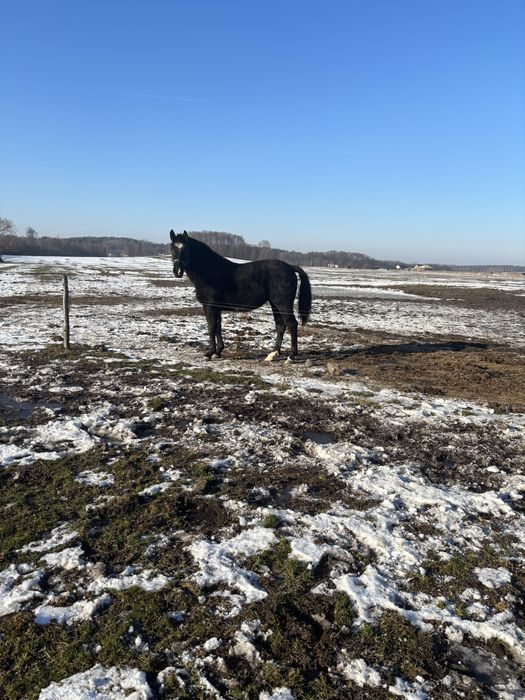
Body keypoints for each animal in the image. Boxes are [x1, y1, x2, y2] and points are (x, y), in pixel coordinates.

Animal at [170, 230, 312, 360]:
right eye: (172, 248)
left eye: (185, 248)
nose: (178, 271)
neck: (210, 271)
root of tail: (290, 267)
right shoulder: (216, 307)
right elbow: (218, 327)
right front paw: (218, 351)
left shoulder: (209, 306)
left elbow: (211, 328)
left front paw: (209, 353)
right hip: (274, 304)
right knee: (280, 325)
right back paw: (273, 353)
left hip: (283, 304)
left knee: (292, 324)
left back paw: (291, 356)